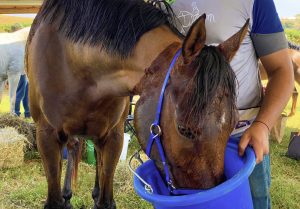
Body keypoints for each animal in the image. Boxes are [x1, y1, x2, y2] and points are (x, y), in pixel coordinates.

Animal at [27, 0, 248, 208]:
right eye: (184, 130)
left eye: (234, 124)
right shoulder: (46, 137)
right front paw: (63, 197)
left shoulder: (113, 136)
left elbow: (105, 199)